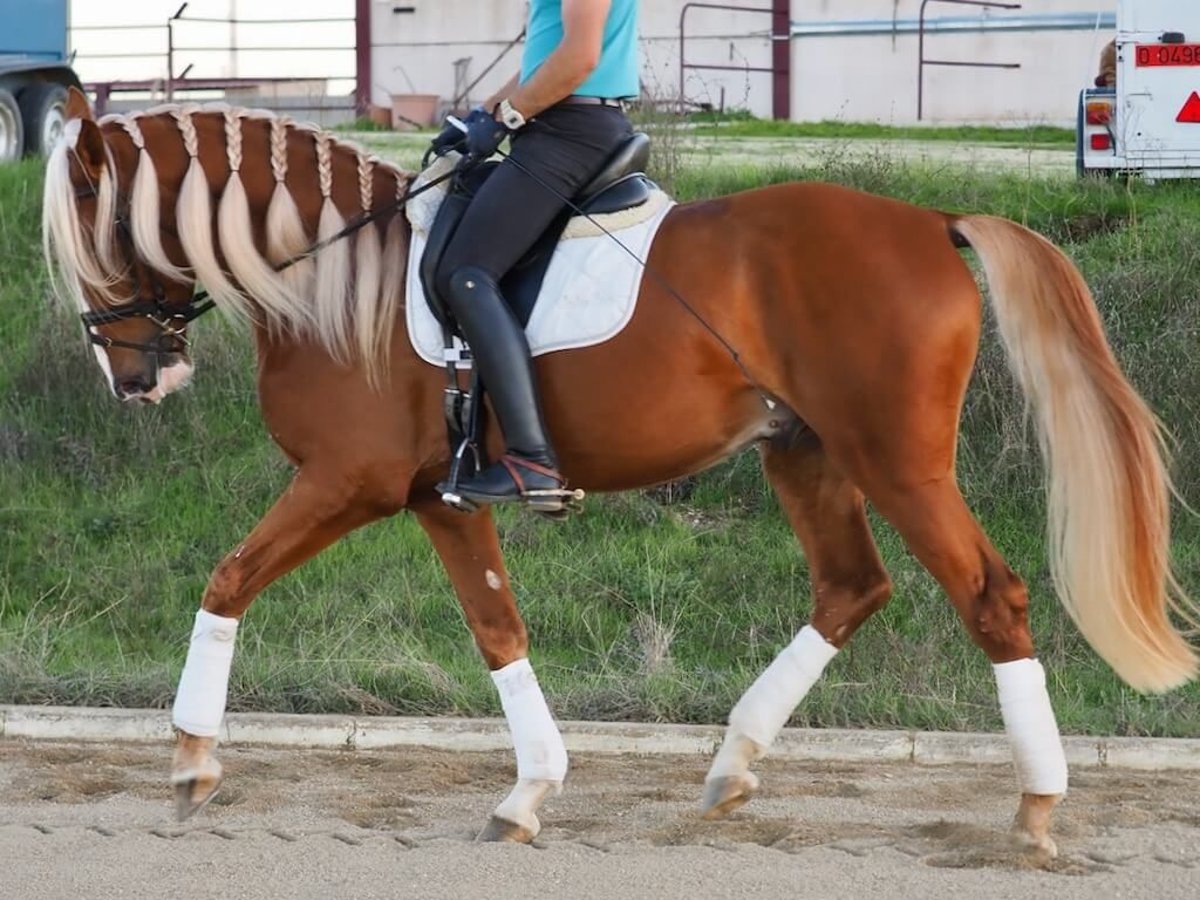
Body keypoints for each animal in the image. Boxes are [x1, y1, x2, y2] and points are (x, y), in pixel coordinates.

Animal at [42, 91, 1195, 859]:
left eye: (96, 236)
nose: (134, 377)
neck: (333, 277)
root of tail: (926, 222)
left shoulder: (346, 482)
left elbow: (227, 578)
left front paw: (191, 761)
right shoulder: (438, 498)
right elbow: (498, 630)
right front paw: (530, 791)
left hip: (898, 460)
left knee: (990, 596)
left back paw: (1037, 809)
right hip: (806, 452)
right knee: (851, 588)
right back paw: (732, 765)